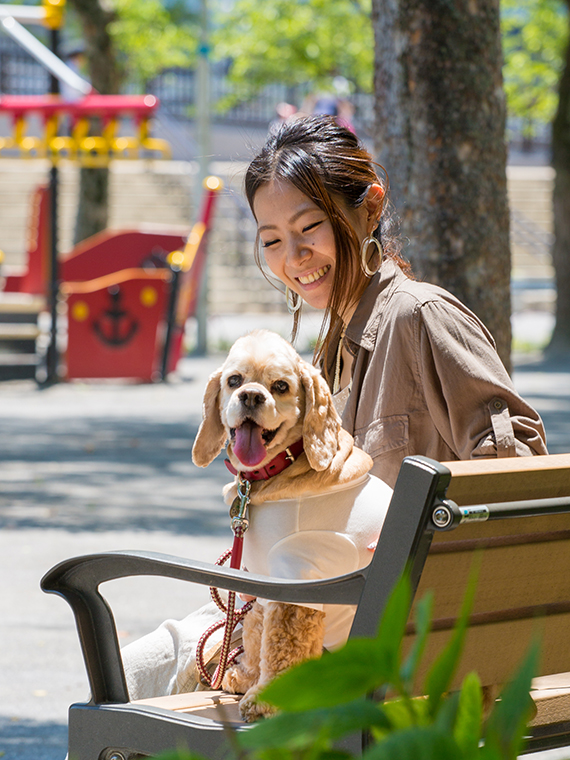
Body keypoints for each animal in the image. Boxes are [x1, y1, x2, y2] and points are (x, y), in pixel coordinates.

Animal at [191, 330, 390, 720]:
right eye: (234, 380)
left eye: (280, 386)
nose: (251, 395)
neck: (273, 475)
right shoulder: (261, 578)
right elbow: (256, 634)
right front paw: (247, 677)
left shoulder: (297, 580)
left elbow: (283, 646)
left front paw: (268, 699)